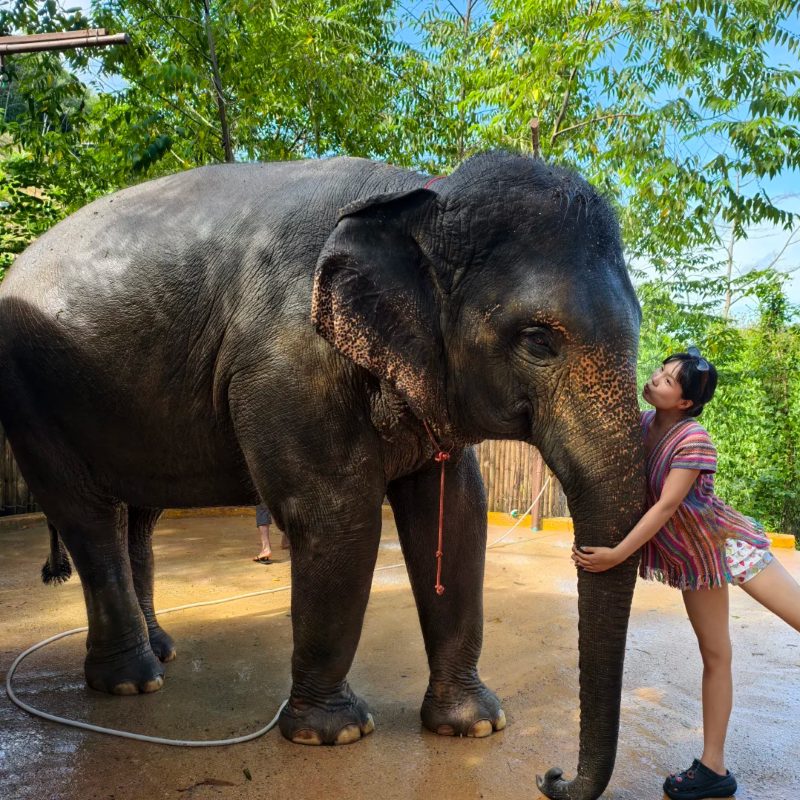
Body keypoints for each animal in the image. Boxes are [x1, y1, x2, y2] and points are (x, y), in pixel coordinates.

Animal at [0, 151, 644, 800]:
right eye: (538, 339)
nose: (550, 775)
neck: (420, 197)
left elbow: (458, 515)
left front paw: (475, 725)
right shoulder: (288, 362)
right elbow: (337, 517)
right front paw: (333, 735)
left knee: (136, 516)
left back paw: (160, 653)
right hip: (30, 393)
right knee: (86, 515)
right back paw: (132, 682)